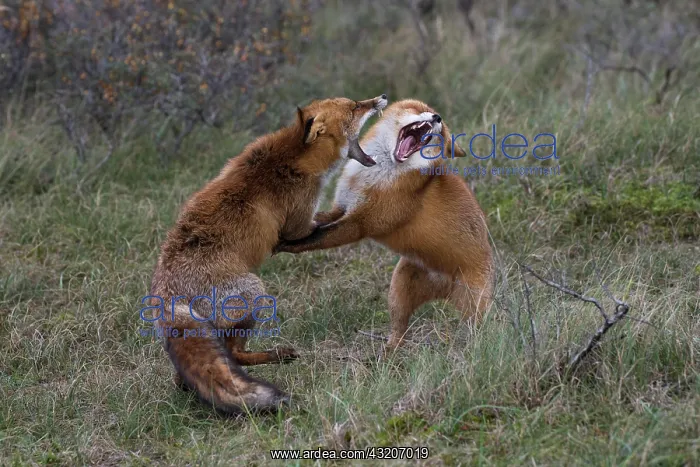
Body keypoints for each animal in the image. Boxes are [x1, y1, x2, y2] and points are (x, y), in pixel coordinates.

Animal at [148, 94, 388, 414]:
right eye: (354, 108)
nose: (381, 98)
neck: (294, 158)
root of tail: (166, 292)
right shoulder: (299, 224)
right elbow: (326, 219)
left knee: (198, 370)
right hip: (253, 291)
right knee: (235, 355)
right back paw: (279, 355)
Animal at [275, 99, 494, 349]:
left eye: (442, 133)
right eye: (423, 110)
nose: (437, 117)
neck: (377, 176)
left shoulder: (360, 224)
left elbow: (318, 238)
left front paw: (286, 246)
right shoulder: (341, 208)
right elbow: (318, 223)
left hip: (472, 307)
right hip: (398, 292)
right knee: (398, 333)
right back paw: (388, 353)